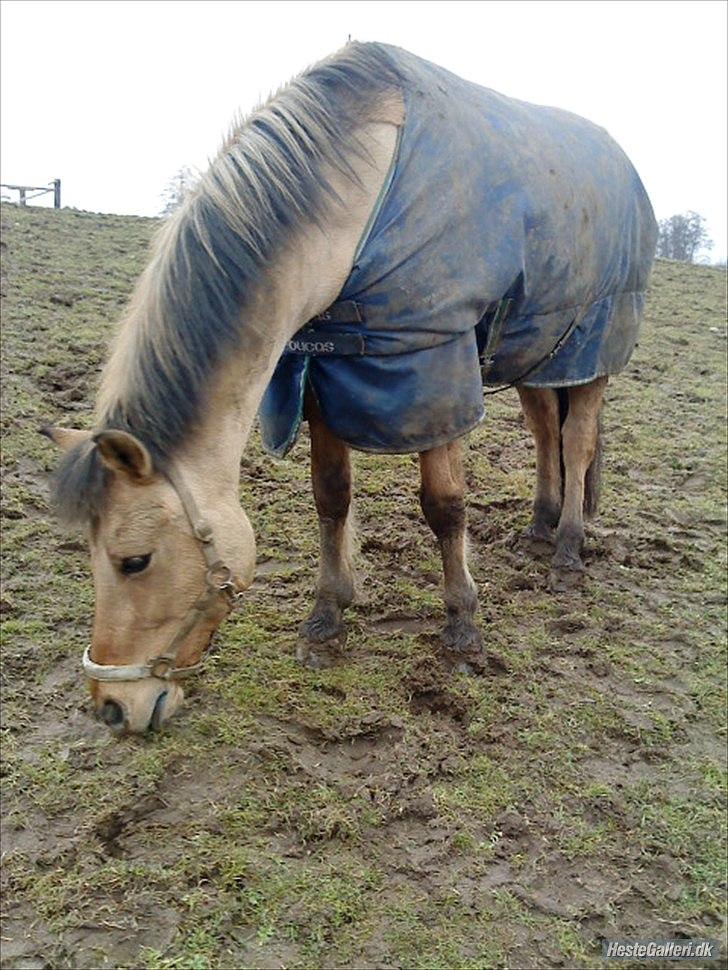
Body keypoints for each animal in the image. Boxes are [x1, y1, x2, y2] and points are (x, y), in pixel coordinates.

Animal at [44, 41, 660, 728]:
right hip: (539, 354)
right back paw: (537, 529)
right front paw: (326, 617)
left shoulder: (433, 370)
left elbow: (444, 507)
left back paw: (567, 550)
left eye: (134, 561)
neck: (351, 214)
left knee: (576, 445)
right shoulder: (322, 377)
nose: (112, 708)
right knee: (546, 434)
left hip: (591, 350)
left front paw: (462, 629)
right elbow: (331, 497)